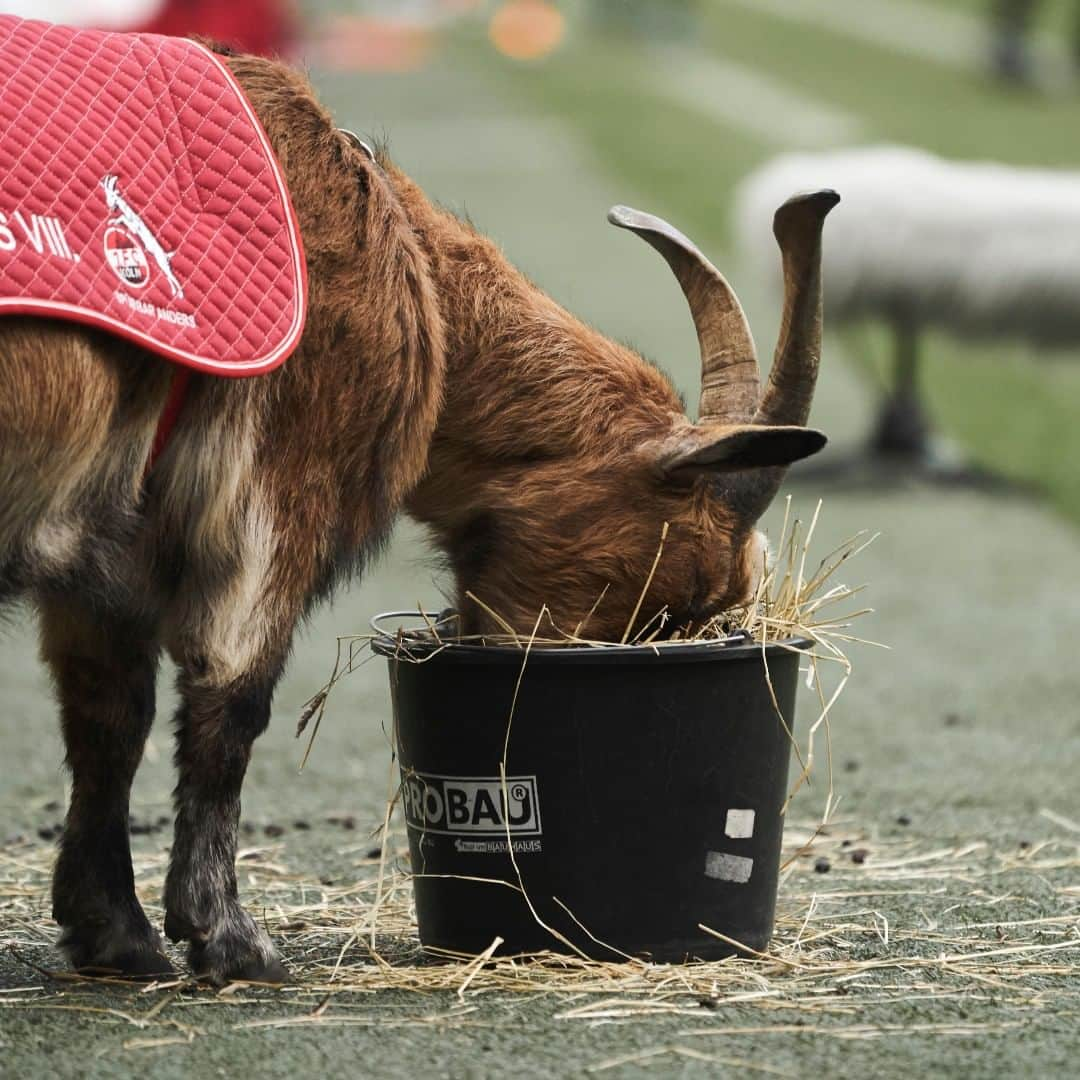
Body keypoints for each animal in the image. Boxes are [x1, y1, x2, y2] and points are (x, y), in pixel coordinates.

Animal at [0, 46, 838, 984]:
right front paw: (231, 939)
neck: (407, 265)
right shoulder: (280, 490)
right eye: (676, 590)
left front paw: (114, 934)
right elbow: (233, 701)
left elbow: (107, 718)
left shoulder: (103, 564)